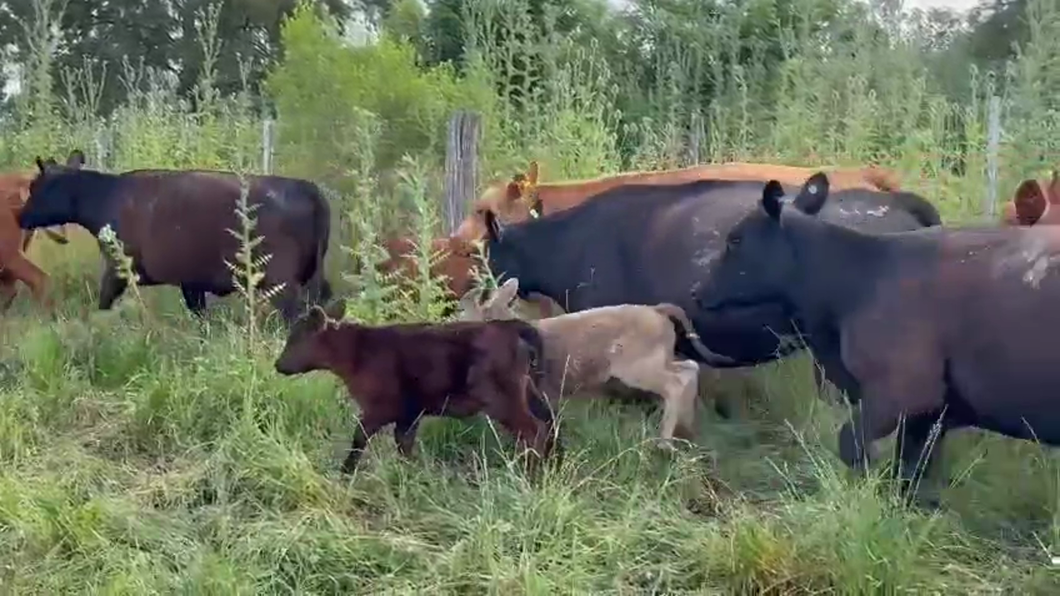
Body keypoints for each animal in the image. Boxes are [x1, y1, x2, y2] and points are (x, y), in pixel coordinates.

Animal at [18, 155, 333, 322]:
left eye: (34, 186)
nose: (20, 217)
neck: (105, 196)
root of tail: (309, 189)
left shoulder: (119, 270)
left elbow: (103, 301)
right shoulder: (191, 281)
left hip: (281, 282)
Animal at [273, 299, 557, 474]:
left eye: (295, 339)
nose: (278, 365)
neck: (358, 349)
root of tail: (508, 327)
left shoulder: (381, 408)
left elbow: (360, 436)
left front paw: (345, 472)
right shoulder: (409, 414)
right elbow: (404, 444)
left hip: (503, 400)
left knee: (533, 430)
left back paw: (528, 473)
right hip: (527, 391)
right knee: (548, 420)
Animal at [457, 277, 733, 443]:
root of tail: (657, 310)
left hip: (638, 367)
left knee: (677, 382)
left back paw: (663, 441)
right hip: (659, 359)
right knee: (690, 369)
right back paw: (686, 429)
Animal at [694, 172, 1060, 507]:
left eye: (735, 240)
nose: (698, 291)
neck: (861, 278)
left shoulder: (902, 391)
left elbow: (853, 445)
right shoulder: (930, 414)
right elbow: (912, 474)